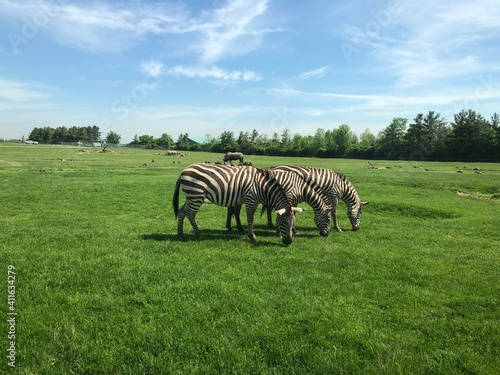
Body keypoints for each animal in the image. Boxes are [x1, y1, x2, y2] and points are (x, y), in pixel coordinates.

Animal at [172, 163, 300, 245]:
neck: (261, 186)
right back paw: (198, 234)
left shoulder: (252, 201)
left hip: (191, 196)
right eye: (284, 222)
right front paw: (252, 236)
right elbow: (250, 218)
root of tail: (183, 172)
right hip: (197, 195)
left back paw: (180, 233)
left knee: (182, 212)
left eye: (293, 222)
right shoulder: (251, 199)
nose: (289, 242)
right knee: (190, 214)